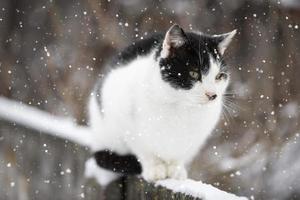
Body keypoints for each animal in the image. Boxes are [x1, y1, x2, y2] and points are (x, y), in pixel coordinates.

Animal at [88, 23, 236, 181]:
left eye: (219, 76)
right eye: (194, 73)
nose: (212, 95)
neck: (181, 107)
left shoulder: (194, 140)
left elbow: (179, 155)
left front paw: (176, 170)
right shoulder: (126, 122)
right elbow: (145, 151)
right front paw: (155, 169)